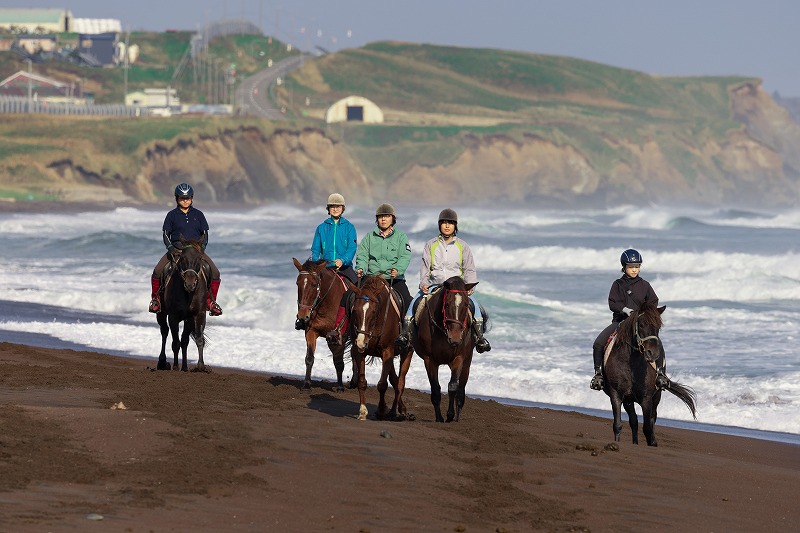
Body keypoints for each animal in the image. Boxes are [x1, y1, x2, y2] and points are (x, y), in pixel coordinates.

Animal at [155, 239, 209, 372]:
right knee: (164, 331)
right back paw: (162, 362)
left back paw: (184, 366)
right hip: (161, 313)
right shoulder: (173, 317)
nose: (190, 284)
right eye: (183, 258)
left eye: (200, 258)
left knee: (184, 340)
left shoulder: (197, 315)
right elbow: (176, 342)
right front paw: (175, 366)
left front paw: (200, 365)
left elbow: (196, 340)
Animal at [294, 258, 356, 390]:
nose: (303, 316)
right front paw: (306, 384)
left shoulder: (339, 337)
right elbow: (309, 358)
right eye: (298, 283)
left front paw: (340, 387)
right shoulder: (311, 332)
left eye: (314, 284)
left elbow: (338, 362)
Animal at [348, 274, 412, 420]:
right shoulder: (358, 351)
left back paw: (398, 411)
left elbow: (382, 385)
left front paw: (381, 410)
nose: (361, 341)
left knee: (400, 382)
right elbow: (362, 381)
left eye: (373, 311)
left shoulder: (387, 351)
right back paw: (399, 409)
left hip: (406, 352)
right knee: (395, 380)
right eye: (355, 310)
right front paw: (363, 411)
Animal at [406, 276, 482, 422]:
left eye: (466, 305)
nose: (455, 338)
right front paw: (439, 418)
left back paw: (457, 417)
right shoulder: (429, 360)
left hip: (467, 363)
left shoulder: (459, 358)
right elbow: (435, 389)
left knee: (461, 391)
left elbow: (453, 386)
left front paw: (450, 416)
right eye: (447, 304)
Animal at [608, 304, 692, 444]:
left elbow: (648, 428)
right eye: (641, 325)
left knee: (651, 419)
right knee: (634, 422)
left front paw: (652, 443)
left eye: (658, 326)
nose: (653, 353)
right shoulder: (617, 394)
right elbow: (618, 425)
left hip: (656, 396)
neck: (631, 364)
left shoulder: (646, 398)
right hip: (628, 400)